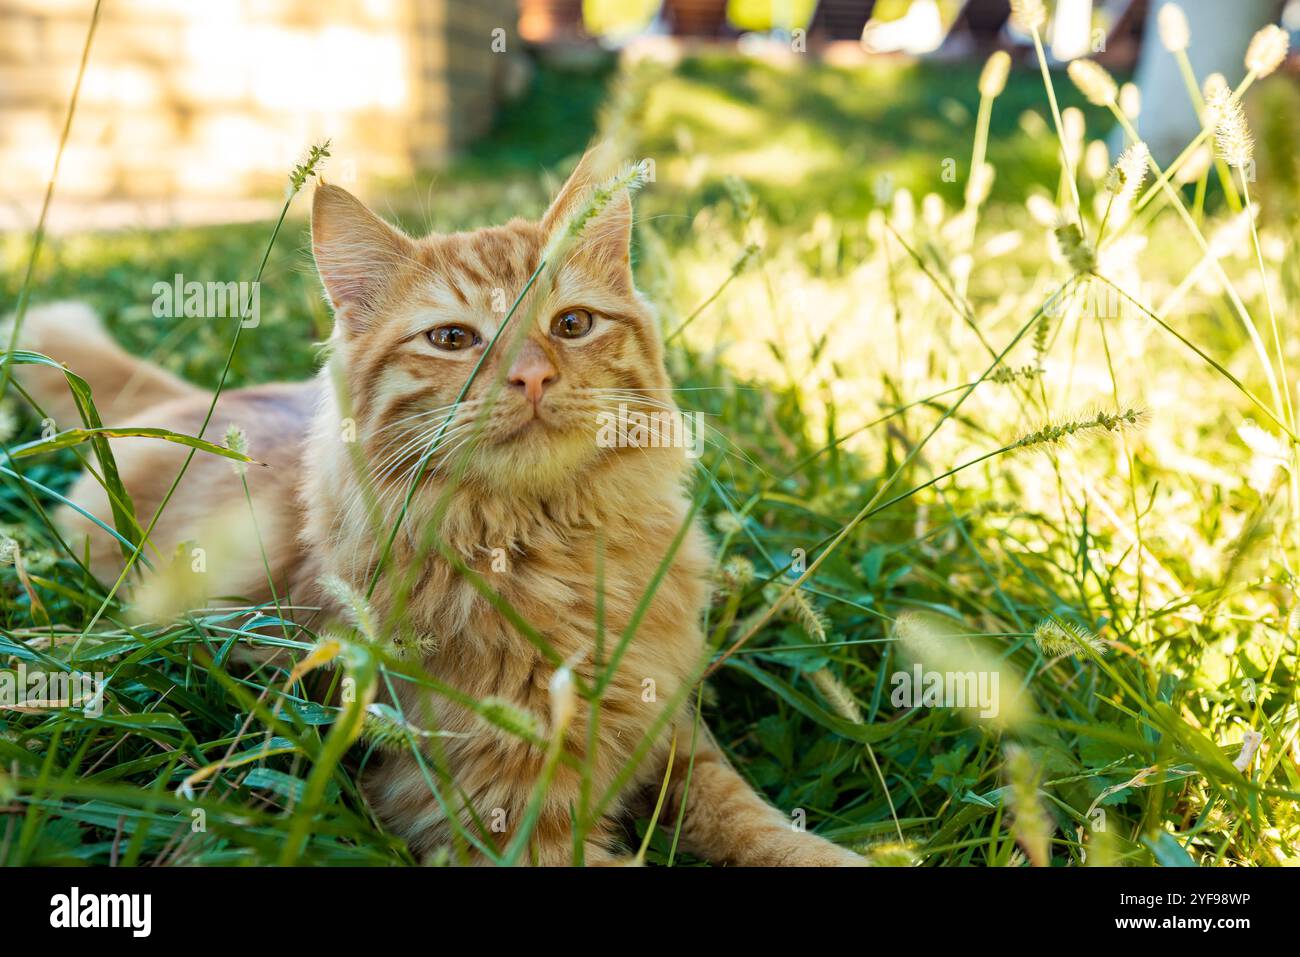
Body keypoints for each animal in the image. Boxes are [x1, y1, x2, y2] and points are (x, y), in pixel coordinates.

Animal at [15, 151, 863, 868]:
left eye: (572, 324)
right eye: (453, 338)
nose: (532, 377)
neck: (547, 545)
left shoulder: (674, 731)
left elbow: (758, 821)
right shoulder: (507, 816)